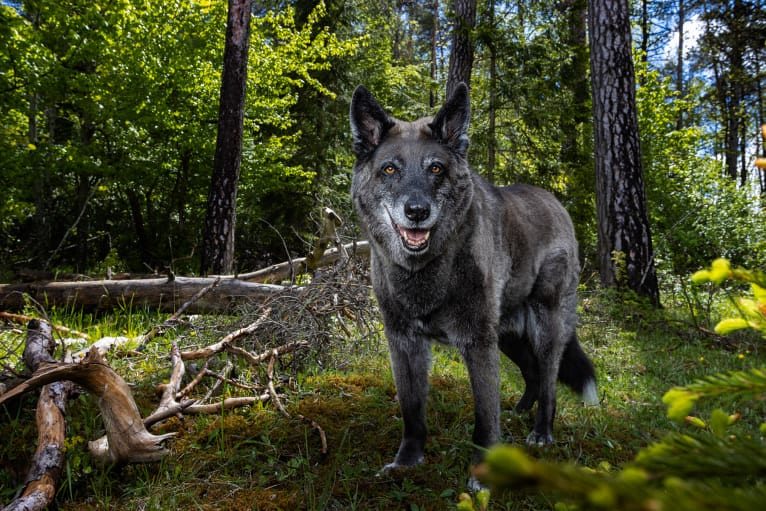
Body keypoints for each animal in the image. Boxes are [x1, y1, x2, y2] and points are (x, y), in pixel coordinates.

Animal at [350, 82, 600, 478]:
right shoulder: (403, 342)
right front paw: (406, 462)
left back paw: (541, 431)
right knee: (531, 372)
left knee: (547, 379)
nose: (417, 212)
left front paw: (483, 473)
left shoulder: (477, 342)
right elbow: (412, 412)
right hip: (508, 334)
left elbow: (484, 415)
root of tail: (556, 203)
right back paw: (519, 411)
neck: (428, 268)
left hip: (546, 326)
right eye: (389, 169)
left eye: (436, 168)